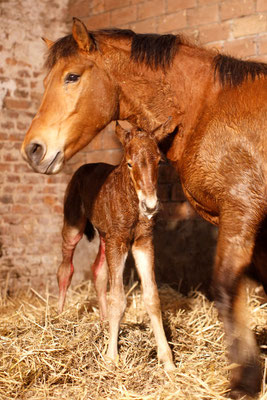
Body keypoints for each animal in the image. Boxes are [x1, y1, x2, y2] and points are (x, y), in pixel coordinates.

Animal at [57, 122, 176, 372]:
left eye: (159, 161)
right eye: (130, 163)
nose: (150, 206)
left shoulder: (143, 242)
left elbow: (152, 297)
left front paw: (168, 361)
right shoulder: (119, 241)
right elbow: (118, 299)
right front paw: (112, 358)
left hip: (105, 237)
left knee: (99, 271)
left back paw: (102, 319)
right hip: (74, 226)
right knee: (65, 268)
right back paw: (59, 317)